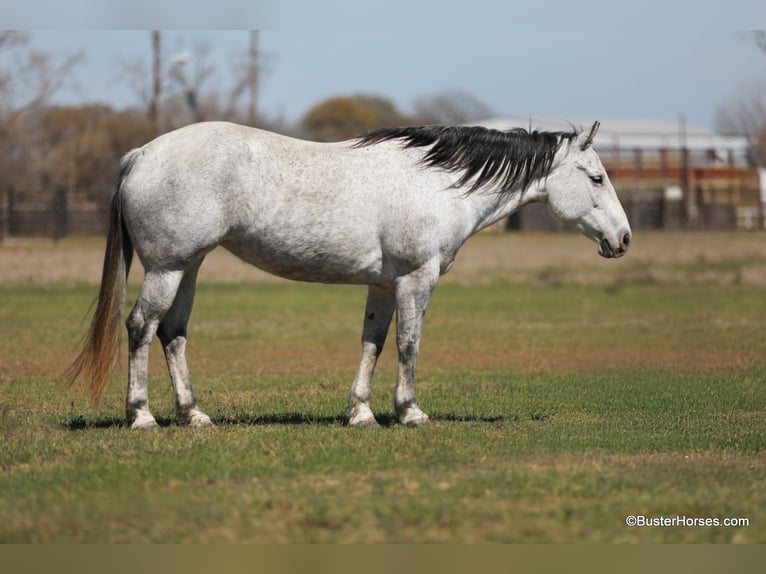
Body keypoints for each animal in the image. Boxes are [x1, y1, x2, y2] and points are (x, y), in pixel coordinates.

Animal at [66, 120, 631, 429]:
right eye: (596, 178)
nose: (623, 239)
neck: (438, 184)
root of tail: (142, 154)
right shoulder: (416, 280)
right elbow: (408, 345)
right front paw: (409, 411)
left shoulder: (383, 285)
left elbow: (372, 345)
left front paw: (361, 412)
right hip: (167, 269)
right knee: (141, 328)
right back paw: (141, 415)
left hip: (189, 268)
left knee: (173, 333)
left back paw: (194, 414)